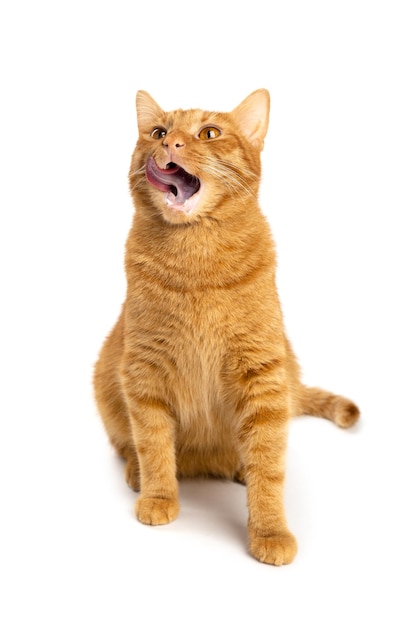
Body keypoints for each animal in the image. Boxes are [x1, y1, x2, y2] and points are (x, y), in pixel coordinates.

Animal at [93, 89, 358, 564]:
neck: (197, 259)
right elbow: (153, 443)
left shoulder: (263, 375)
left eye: (209, 133)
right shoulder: (143, 370)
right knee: (128, 445)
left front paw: (270, 531)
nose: (170, 143)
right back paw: (137, 474)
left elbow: (268, 466)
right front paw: (159, 497)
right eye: (158, 132)